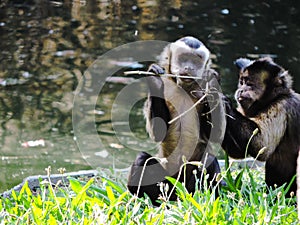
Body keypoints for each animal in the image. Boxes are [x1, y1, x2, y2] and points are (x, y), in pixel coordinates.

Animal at [126, 36, 225, 205]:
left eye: (195, 60)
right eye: (184, 58)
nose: (189, 67)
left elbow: (216, 136)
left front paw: (213, 82)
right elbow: (159, 133)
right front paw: (154, 81)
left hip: (188, 188)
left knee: (208, 160)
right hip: (167, 185)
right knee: (142, 159)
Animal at [223, 56, 300, 195]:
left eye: (249, 84)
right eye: (241, 82)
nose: (240, 90)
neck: (273, 98)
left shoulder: (281, 106)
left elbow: (262, 144)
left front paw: (220, 101)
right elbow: (240, 152)